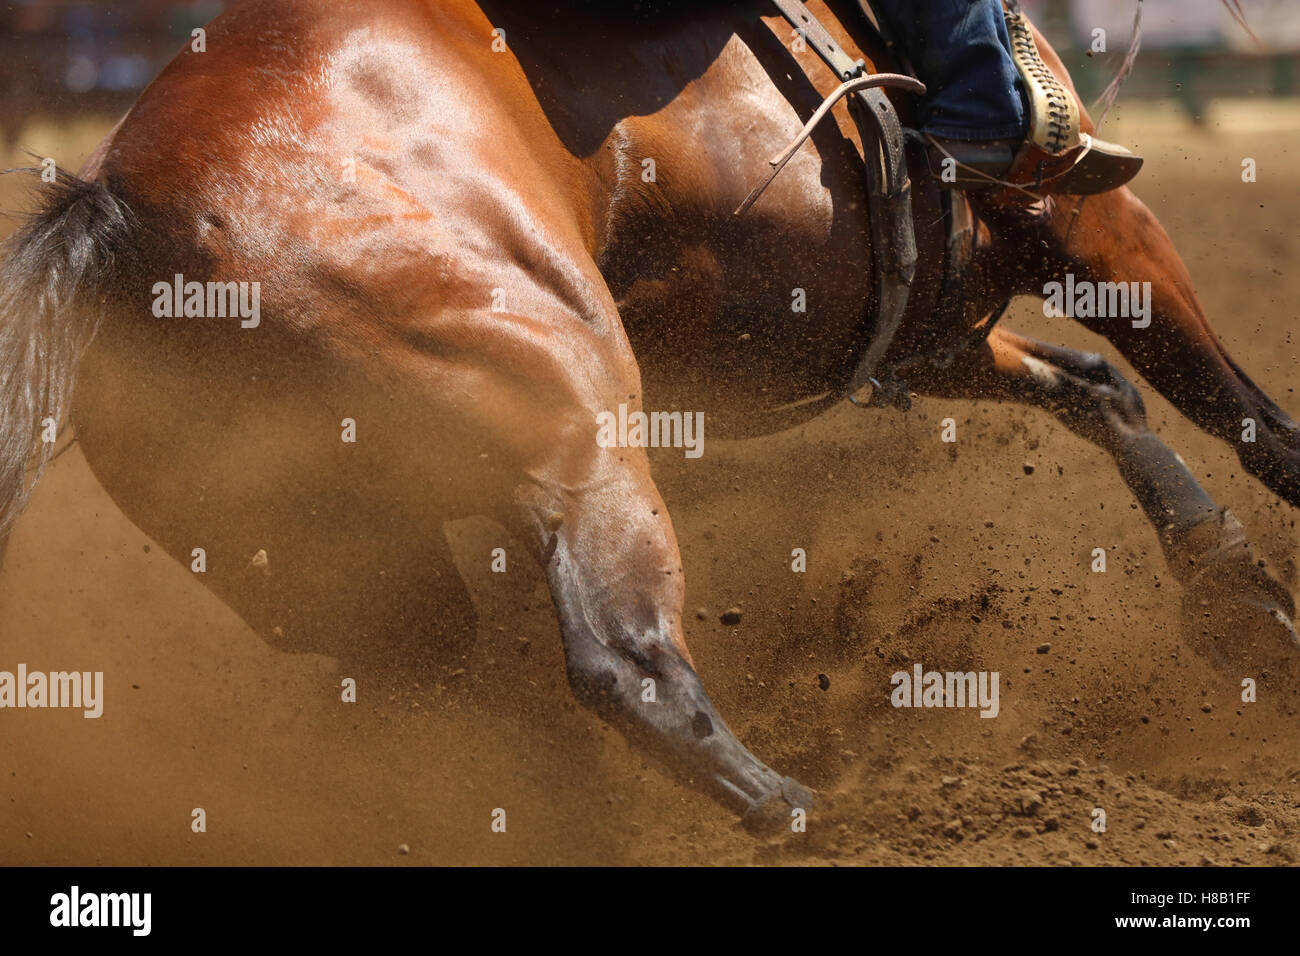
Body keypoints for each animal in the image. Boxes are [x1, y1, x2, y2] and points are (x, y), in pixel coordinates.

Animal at [2, 0, 1297, 830]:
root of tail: (121, 215)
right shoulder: (1079, 217)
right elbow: (1232, 402)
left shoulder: (917, 321)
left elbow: (1098, 389)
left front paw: (1239, 598)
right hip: (577, 426)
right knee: (620, 657)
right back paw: (793, 809)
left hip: (323, 562)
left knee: (449, 678)